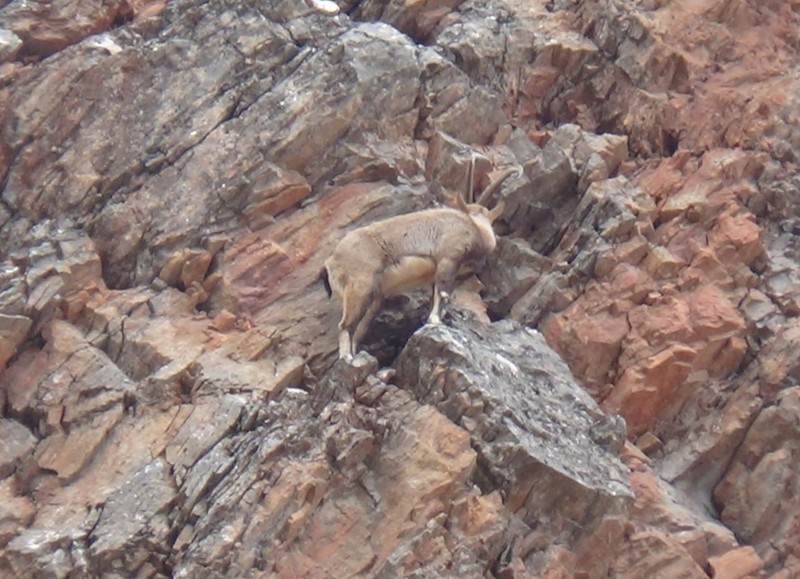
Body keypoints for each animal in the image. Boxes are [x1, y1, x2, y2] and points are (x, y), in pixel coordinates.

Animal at [318, 163, 512, 360]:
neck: (475, 228)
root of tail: (330, 263)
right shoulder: (448, 258)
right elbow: (442, 293)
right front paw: (435, 322)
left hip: (373, 299)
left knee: (358, 331)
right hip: (359, 288)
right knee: (345, 326)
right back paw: (347, 358)